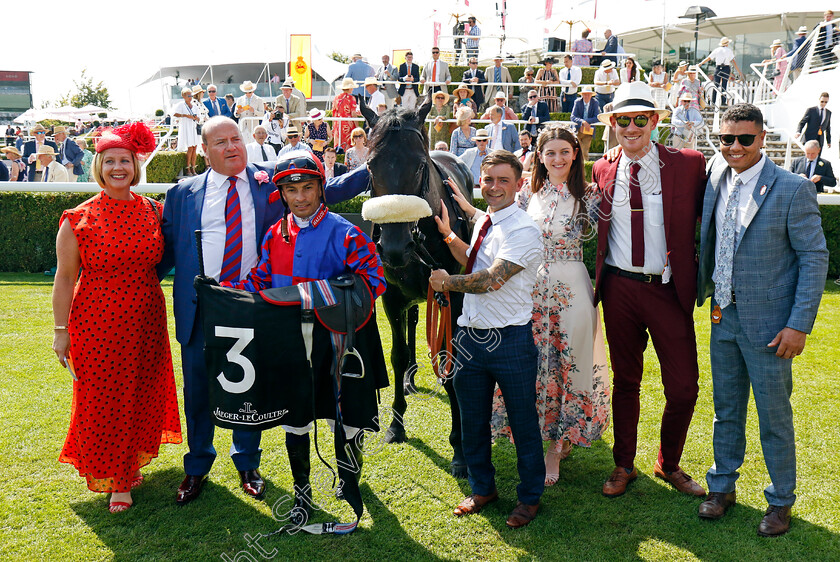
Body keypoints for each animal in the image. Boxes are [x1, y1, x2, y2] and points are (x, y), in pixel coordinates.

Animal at [356, 98, 472, 474]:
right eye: (371, 166)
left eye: (420, 167)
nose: (394, 248)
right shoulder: (391, 298)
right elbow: (395, 354)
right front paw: (396, 425)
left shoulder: (454, 296)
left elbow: (451, 358)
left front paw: (460, 446)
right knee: (413, 321)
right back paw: (409, 377)